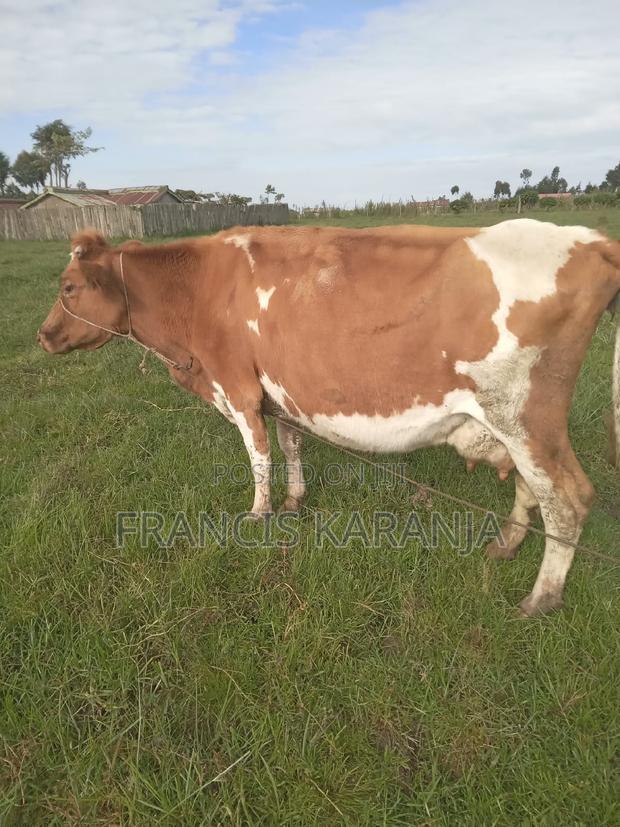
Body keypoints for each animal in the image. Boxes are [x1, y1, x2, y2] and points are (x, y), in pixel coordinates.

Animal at [37, 219, 620, 616]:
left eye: (67, 288)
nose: (43, 336)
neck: (198, 290)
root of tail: (591, 240)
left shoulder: (238, 387)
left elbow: (258, 457)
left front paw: (258, 515)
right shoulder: (278, 389)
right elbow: (290, 445)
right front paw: (295, 501)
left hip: (526, 415)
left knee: (567, 499)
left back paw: (541, 597)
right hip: (516, 423)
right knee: (532, 487)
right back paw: (506, 544)